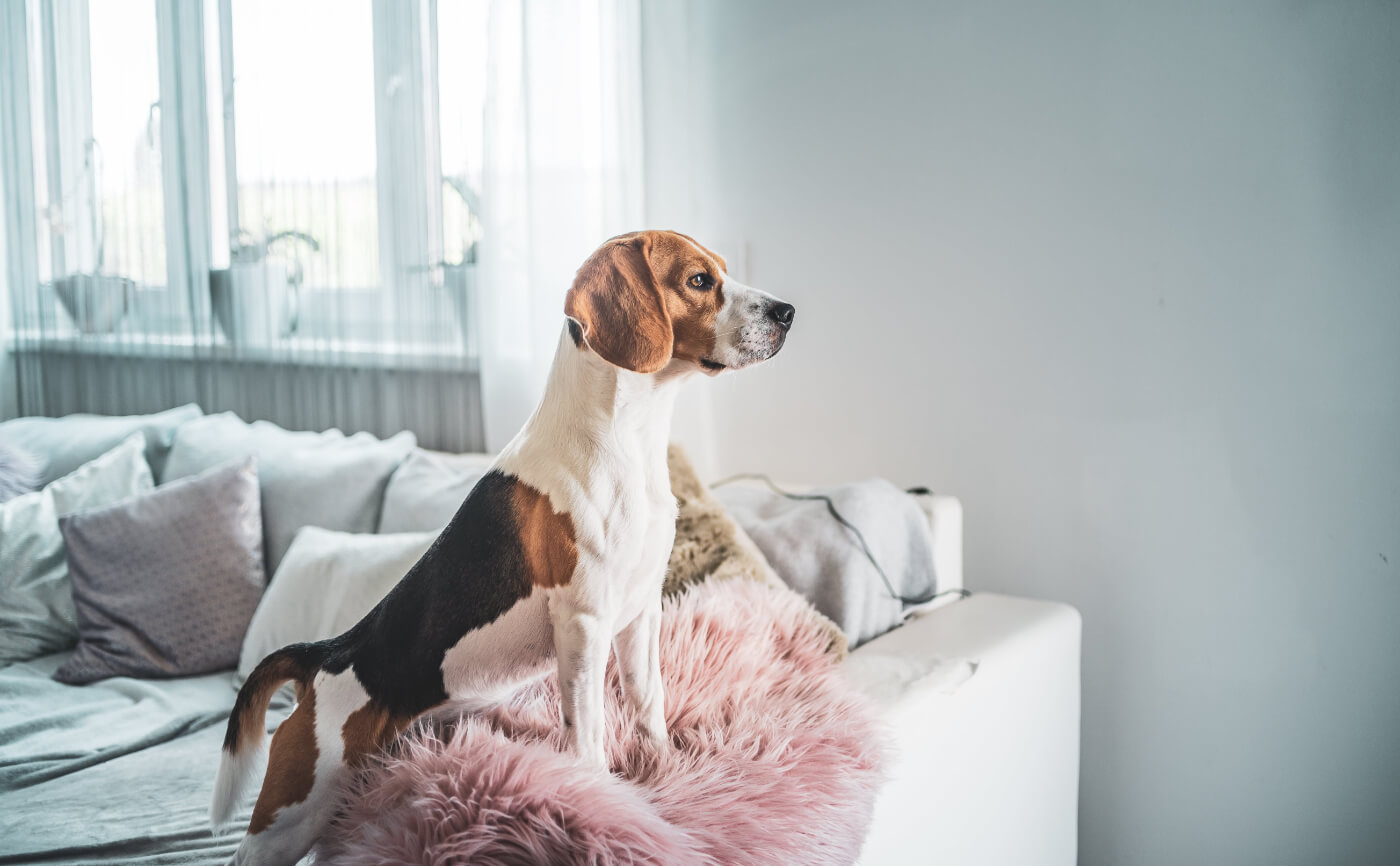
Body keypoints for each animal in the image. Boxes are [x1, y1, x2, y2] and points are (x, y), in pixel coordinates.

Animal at [210, 232, 800, 866]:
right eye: (697, 280)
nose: (787, 312)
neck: (627, 438)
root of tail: (327, 653)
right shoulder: (583, 625)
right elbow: (587, 734)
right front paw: (603, 801)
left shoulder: (639, 613)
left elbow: (648, 704)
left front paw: (664, 773)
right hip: (290, 814)